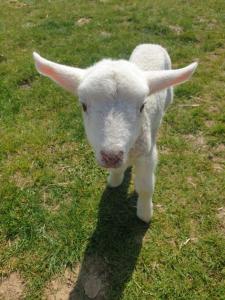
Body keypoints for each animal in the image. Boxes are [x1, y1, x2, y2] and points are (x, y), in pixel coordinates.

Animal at [33, 44, 197, 223]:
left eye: (142, 106)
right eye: (83, 106)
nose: (111, 156)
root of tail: (151, 44)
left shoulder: (147, 154)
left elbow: (146, 187)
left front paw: (145, 213)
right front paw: (115, 179)